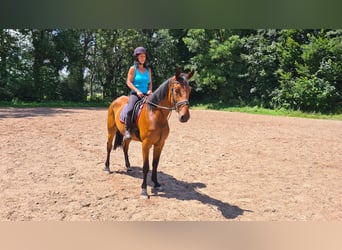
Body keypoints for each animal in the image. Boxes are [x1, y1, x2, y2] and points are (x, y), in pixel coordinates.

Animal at [104, 68, 194, 197]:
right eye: (176, 90)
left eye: (189, 90)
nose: (185, 116)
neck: (155, 115)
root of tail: (116, 101)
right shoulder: (146, 144)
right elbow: (146, 166)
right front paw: (144, 189)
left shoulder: (160, 144)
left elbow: (155, 164)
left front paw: (156, 183)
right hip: (111, 130)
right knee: (109, 147)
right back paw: (107, 168)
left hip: (128, 136)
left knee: (125, 148)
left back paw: (128, 167)